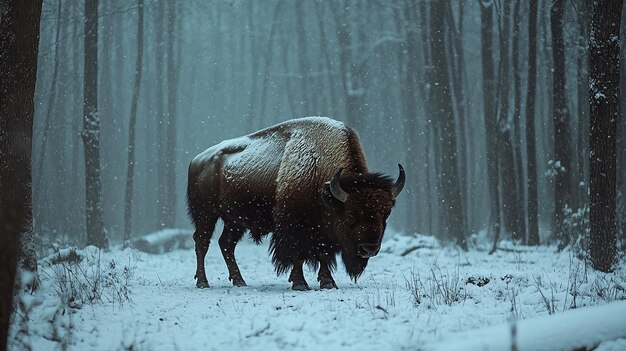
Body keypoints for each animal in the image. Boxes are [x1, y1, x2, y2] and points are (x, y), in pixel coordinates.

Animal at [185, 117, 402, 290]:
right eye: (350, 214)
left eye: (386, 215)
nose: (369, 249)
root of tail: (197, 160)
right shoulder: (294, 225)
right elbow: (297, 254)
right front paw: (299, 283)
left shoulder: (323, 230)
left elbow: (324, 254)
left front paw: (328, 283)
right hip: (206, 214)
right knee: (202, 241)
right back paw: (203, 282)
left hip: (234, 220)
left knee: (226, 244)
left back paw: (239, 281)